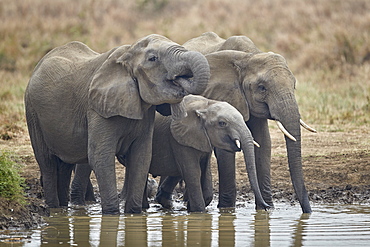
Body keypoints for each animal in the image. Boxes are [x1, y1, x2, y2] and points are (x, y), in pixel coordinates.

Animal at [24, 34, 211, 214]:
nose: (180, 79)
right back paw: (53, 207)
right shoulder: (97, 107)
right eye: (153, 59)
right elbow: (100, 155)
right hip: (32, 112)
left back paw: (62, 208)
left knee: (64, 165)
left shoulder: (145, 112)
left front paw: (134, 213)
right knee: (47, 163)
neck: (126, 55)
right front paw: (112, 213)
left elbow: (142, 156)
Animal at [159, 31, 316, 213]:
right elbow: (225, 150)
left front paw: (267, 209)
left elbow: (264, 142)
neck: (249, 56)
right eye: (262, 88)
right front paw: (227, 209)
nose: (307, 211)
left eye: (294, 85)